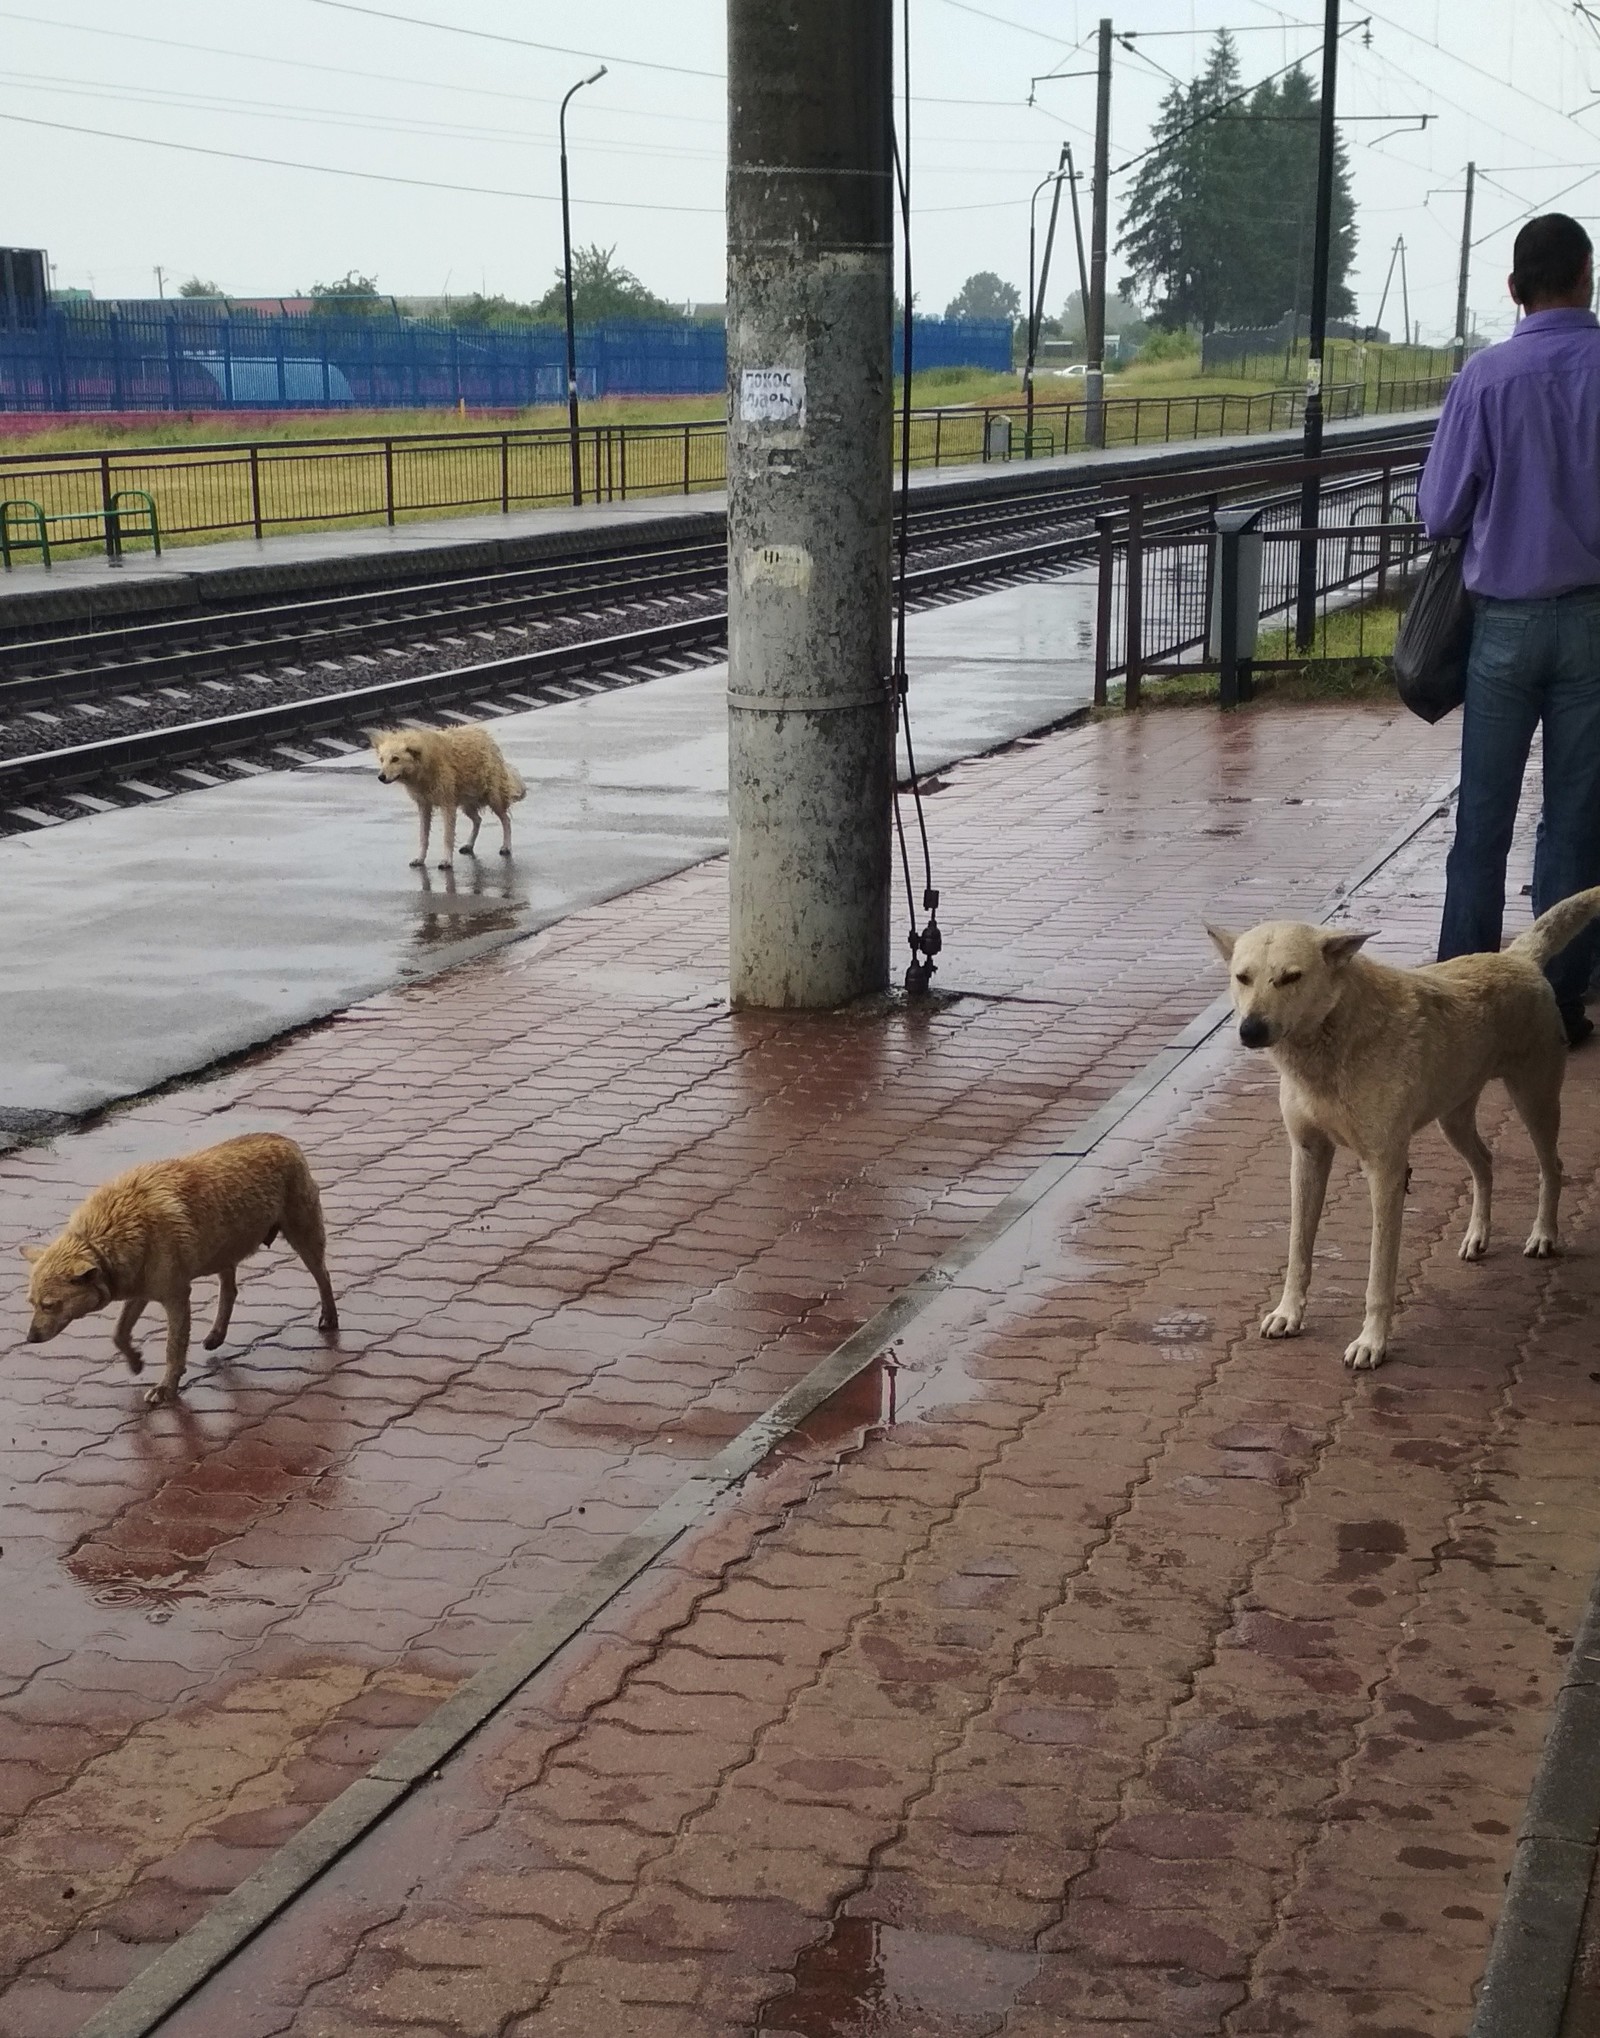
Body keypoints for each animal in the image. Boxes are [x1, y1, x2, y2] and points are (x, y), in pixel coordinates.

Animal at [22, 1133, 336, 1402]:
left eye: (50, 1305)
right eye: (32, 1303)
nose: (30, 1338)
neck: (112, 1231)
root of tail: (285, 1140)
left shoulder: (176, 1298)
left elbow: (173, 1349)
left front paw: (166, 1388)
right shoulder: (141, 1290)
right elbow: (119, 1333)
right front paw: (135, 1361)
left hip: (303, 1238)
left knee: (323, 1276)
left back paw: (329, 1318)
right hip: (224, 1249)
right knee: (230, 1290)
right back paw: (217, 1333)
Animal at [368, 725, 525, 868]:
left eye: (395, 759)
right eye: (381, 759)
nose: (380, 777)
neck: (425, 765)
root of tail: (487, 737)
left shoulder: (447, 805)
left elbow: (447, 837)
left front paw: (446, 860)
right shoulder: (424, 805)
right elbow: (423, 837)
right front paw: (420, 858)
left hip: (493, 798)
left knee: (506, 820)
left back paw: (506, 846)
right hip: (467, 802)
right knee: (478, 820)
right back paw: (469, 844)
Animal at [1214, 888, 1597, 1369]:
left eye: (1291, 977)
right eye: (1242, 977)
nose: (1250, 1030)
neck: (1330, 1042)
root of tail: (1517, 958)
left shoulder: (1385, 1170)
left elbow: (1379, 1274)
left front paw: (1372, 1342)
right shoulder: (1306, 1156)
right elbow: (1298, 1250)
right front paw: (1289, 1313)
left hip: (1536, 1101)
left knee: (1552, 1167)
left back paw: (1544, 1234)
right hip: (1454, 1118)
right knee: (1485, 1162)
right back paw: (1478, 1235)